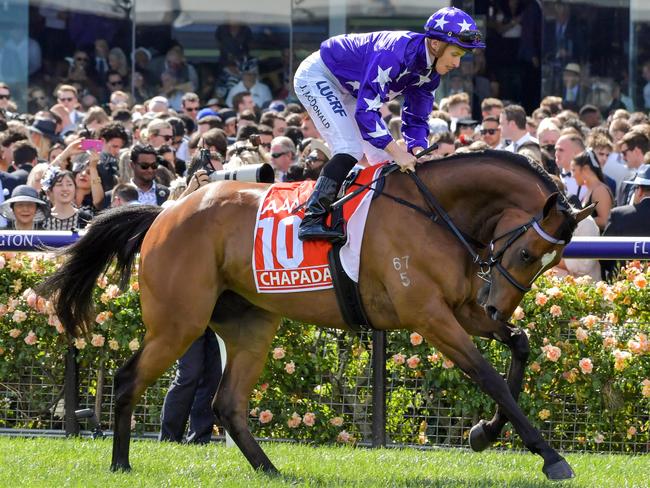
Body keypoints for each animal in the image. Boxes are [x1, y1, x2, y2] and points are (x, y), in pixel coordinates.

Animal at [38, 152, 588, 480]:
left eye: (551, 263)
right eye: (526, 255)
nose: (498, 302)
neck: (435, 213)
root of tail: (165, 213)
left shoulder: (462, 310)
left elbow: (521, 345)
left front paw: (484, 433)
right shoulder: (431, 317)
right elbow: (489, 377)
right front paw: (550, 456)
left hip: (251, 325)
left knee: (228, 404)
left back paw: (270, 470)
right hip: (179, 322)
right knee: (129, 379)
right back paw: (121, 464)